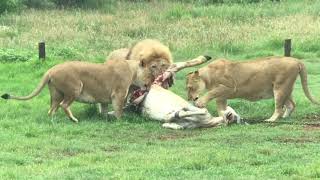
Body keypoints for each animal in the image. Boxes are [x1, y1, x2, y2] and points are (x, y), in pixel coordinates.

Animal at [0, 59, 152, 122]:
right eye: (150, 73)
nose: (150, 85)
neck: (132, 70)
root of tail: (50, 70)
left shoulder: (105, 98)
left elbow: (104, 109)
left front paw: (105, 118)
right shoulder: (118, 94)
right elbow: (119, 109)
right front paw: (121, 120)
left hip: (56, 94)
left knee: (51, 110)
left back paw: (54, 121)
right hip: (75, 88)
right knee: (64, 105)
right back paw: (73, 120)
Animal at [186, 56, 318, 121]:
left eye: (190, 87)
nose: (189, 99)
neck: (207, 77)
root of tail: (296, 60)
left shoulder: (229, 87)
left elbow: (211, 93)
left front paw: (200, 103)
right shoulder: (222, 96)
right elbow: (221, 108)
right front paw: (223, 117)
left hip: (280, 88)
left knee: (279, 108)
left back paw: (271, 120)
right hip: (286, 89)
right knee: (291, 105)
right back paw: (284, 118)